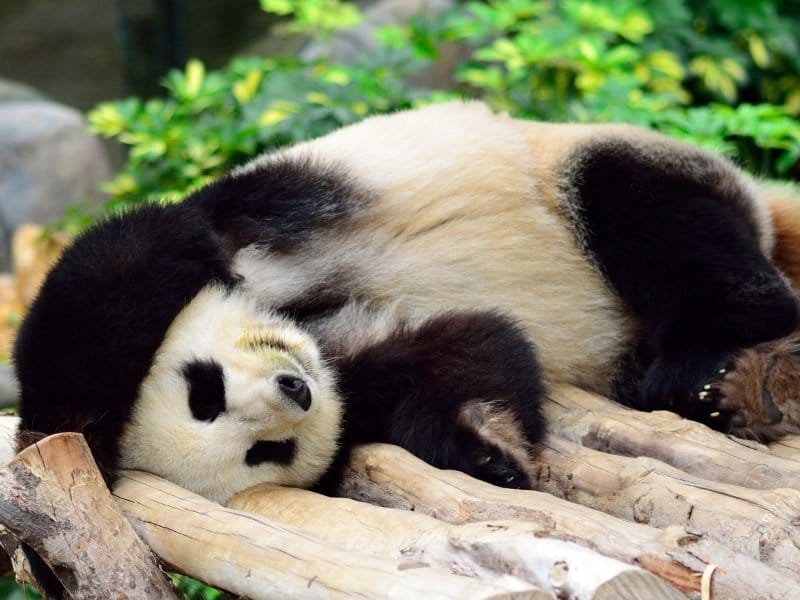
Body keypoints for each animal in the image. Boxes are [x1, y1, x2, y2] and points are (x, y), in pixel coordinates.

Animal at [10, 101, 800, 504]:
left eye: (203, 390)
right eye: (263, 452)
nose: (295, 390)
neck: (309, 324)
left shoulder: (244, 219)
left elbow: (116, 276)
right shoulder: (354, 371)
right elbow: (466, 344)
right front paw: (486, 449)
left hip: (609, 166)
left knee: (648, 212)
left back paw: (706, 365)